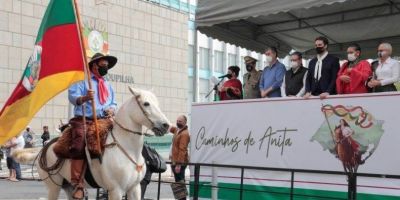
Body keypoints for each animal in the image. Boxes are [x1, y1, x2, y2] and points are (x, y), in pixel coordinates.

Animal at [13, 87, 170, 200]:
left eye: (157, 103)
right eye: (146, 103)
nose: (166, 125)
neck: (127, 149)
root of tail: (43, 149)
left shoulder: (135, 188)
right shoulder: (116, 190)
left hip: (68, 186)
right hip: (53, 187)